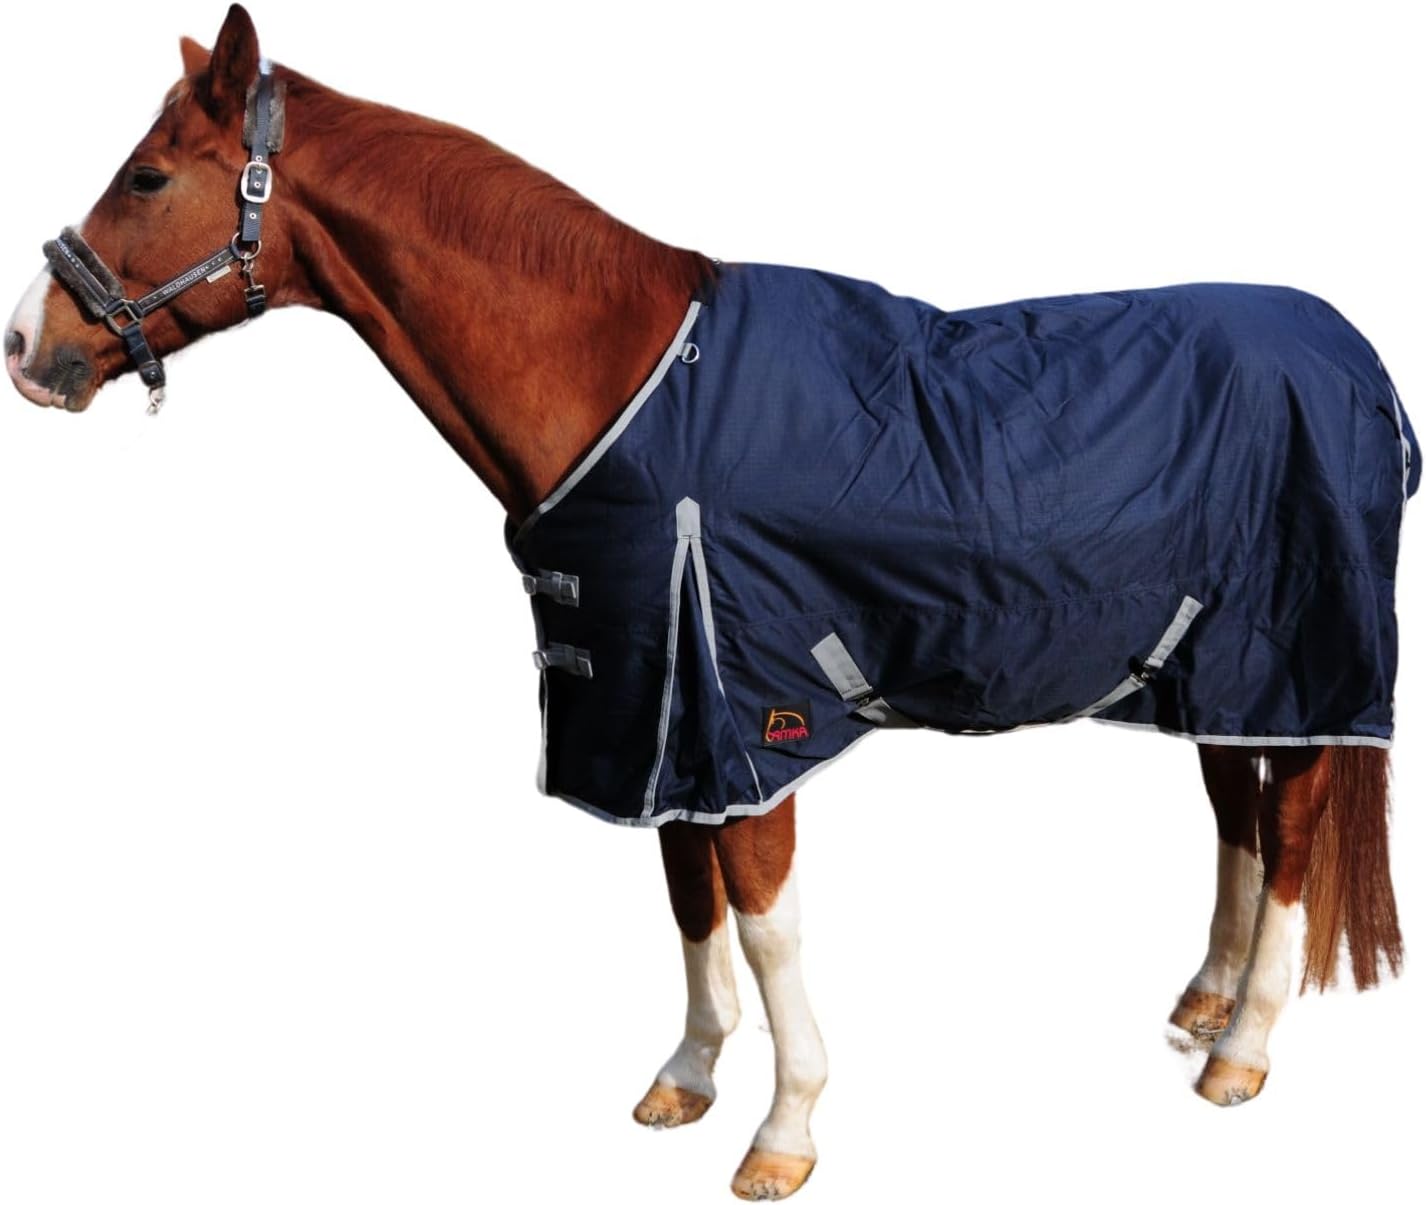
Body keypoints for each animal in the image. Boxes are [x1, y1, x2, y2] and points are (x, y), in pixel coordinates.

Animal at [5, 6, 1411, 1200]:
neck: (626, 383)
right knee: (1234, 812)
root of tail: (1358, 361)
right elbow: (688, 899)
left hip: (1298, 658)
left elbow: (765, 920)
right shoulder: (651, 705)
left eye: (146, 177)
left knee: (1290, 835)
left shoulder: (742, 711)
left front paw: (784, 1131)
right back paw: (1202, 1003)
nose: (27, 347)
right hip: (1210, 672)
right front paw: (684, 1078)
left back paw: (1242, 1051)